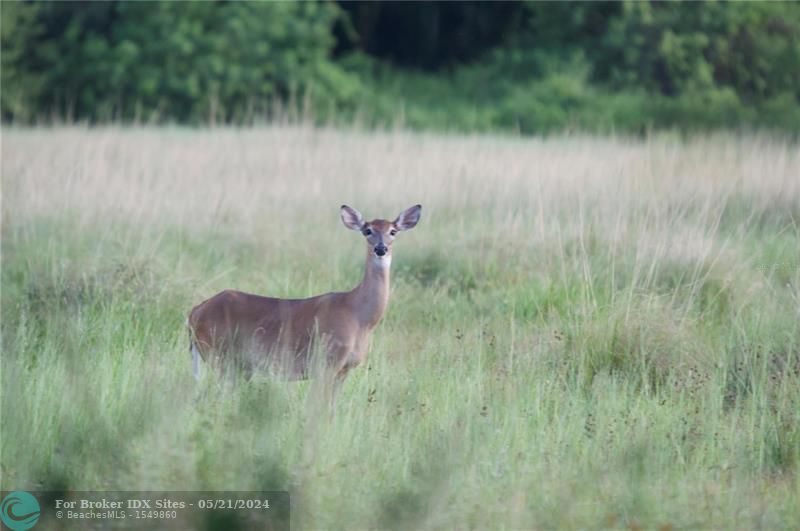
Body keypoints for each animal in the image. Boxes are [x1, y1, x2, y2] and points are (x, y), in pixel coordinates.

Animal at [187, 204, 422, 394]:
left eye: (393, 231)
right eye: (368, 230)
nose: (381, 248)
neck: (360, 318)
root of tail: (195, 311)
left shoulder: (344, 370)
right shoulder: (326, 362)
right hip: (220, 356)